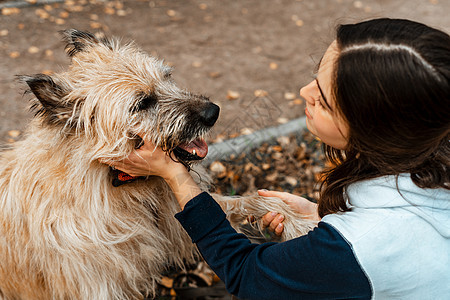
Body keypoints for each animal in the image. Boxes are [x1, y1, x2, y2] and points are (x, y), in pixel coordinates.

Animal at [0, 29, 316, 298]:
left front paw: (301, 222)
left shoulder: (178, 217)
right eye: (142, 103)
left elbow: (250, 201)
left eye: (167, 76)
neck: (113, 182)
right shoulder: (98, 285)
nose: (213, 112)